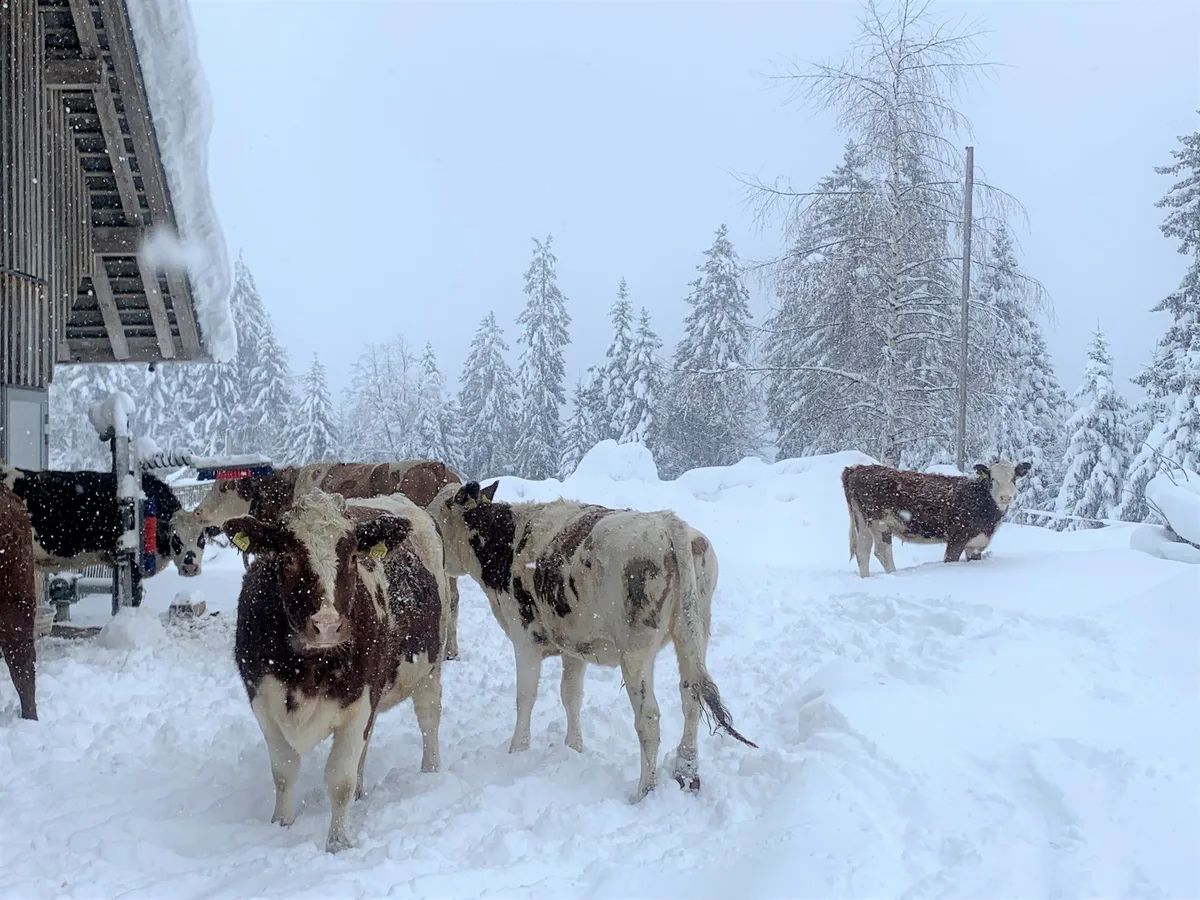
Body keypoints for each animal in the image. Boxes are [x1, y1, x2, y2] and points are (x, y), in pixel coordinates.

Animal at [225, 488, 449, 853]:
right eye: (287, 557)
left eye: (352, 557)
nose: (327, 625)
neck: (306, 668)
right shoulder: (262, 702)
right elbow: (284, 770)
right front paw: (281, 823)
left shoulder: (360, 700)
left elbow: (338, 778)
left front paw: (338, 843)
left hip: (431, 664)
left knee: (429, 718)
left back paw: (430, 772)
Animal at [427, 479, 756, 802]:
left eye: (433, 517)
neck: (506, 542)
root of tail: (668, 523)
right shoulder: (573, 646)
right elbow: (571, 695)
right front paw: (574, 748)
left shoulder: (525, 639)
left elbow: (526, 698)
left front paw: (517, 750)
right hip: (694, 632)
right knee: (690, 697)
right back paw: (687, 773)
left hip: (636, 649)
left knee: (648, 716)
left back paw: (644, 792)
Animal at [842, 460, 1032, 577]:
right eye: (992, 478)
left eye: (1013, 478)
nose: (1005, 497)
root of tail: (858, 469)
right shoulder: (957, 538)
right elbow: (950, 560)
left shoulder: (976, 544)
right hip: (880, 521)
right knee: (882, 551)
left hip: (862, 520)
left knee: (863, 549)